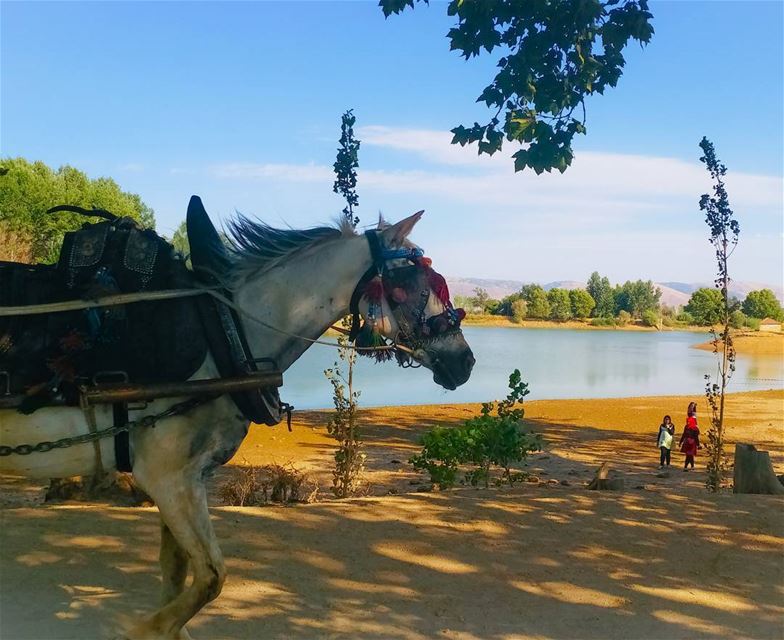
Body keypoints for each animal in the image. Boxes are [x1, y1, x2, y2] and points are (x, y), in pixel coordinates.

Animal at [0, 208, 474, 636]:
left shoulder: (184, 478)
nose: (466, 361)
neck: (228, 334)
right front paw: (145, 629)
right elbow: (211, 577)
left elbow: (177, 572)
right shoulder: (166, 476)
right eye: (413, 284)